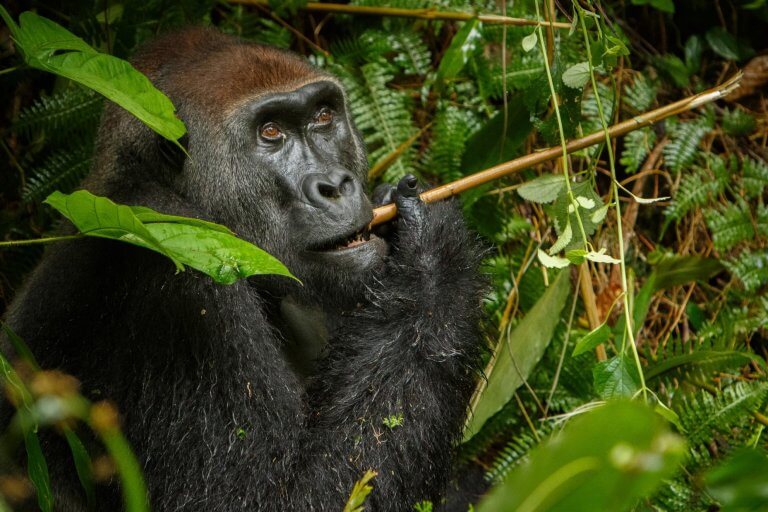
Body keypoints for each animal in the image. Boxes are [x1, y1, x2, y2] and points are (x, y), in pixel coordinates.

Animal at [1, 27, 485, 511]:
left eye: (323, 116)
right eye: (270, 132)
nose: (335, 185)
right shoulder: (175, 280)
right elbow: (283, 498)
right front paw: (433, 253)